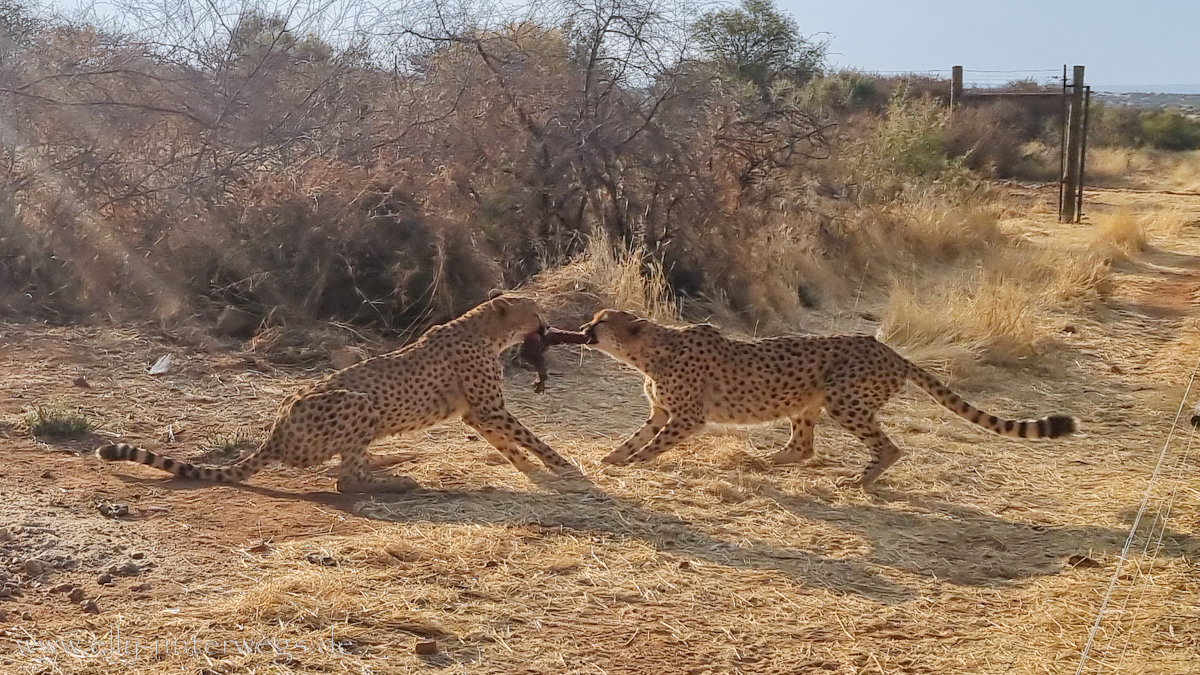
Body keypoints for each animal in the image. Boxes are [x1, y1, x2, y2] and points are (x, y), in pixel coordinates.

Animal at [96, 294, 578, 487]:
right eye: (534, 312)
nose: (547, 325)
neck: (485, 332)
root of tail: (276, 432)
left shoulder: (479, 413)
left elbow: (510, 445)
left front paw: (534, 470)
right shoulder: (488, 409)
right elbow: (530, 438)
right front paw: (565, 466)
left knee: (345, 466)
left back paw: (389, 462)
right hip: (359, 404)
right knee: (345, 477)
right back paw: (393, 482)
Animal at [580, 307, 1080, 485]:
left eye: (601, 322)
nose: (582, 329)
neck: (649, 351)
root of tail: (888, 349)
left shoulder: (686, 417)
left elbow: (654, 444)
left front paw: (636, 463)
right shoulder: (660, 411)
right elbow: (635, 435)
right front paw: (613, 458)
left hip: (845, 399)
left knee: (889, 447)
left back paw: (860, 479)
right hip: (807, 402)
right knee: (803, 447)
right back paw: (766, 462)